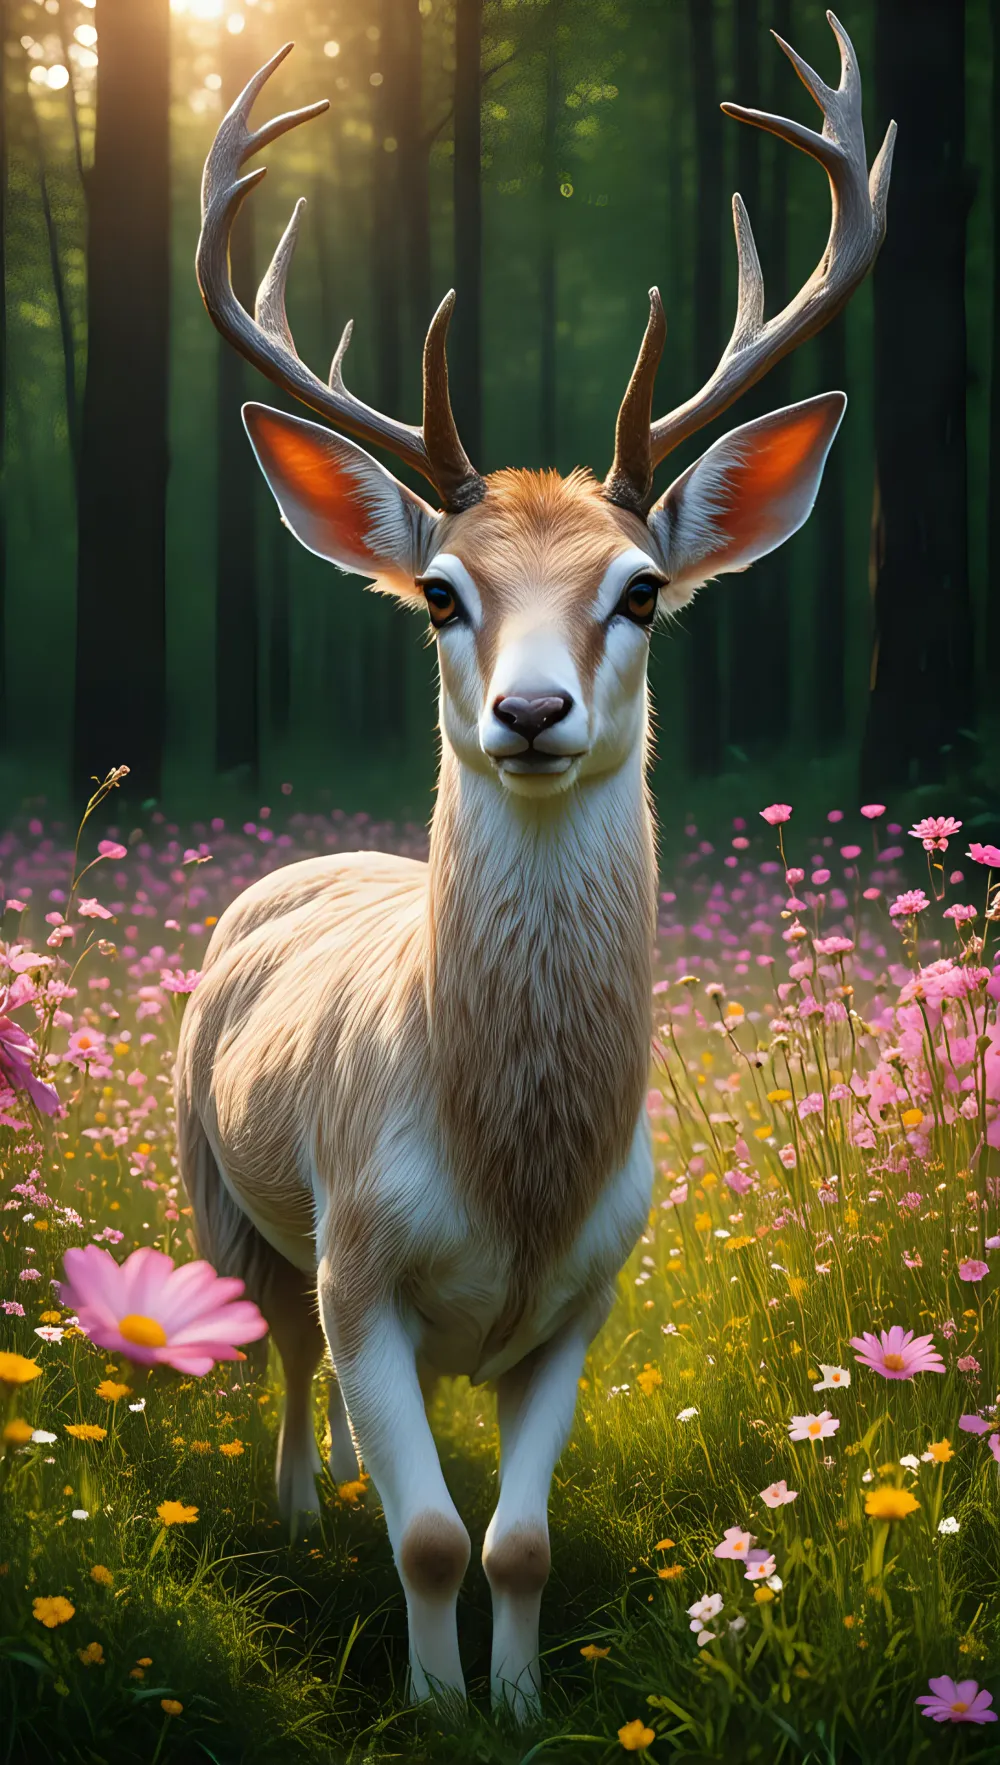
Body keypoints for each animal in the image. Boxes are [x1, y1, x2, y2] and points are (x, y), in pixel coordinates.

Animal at [176, 11, 894, 1718]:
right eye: (442, 590)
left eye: (641, 590)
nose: (531, 710)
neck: (511, 1172)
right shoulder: (359, 1254)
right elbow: (432, 1533)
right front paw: (432, 1702)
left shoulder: (593, 1292)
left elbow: (512, 1540)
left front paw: (513, 1702)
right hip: (216, 1186)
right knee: (279, 1351)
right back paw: (302, 1508)